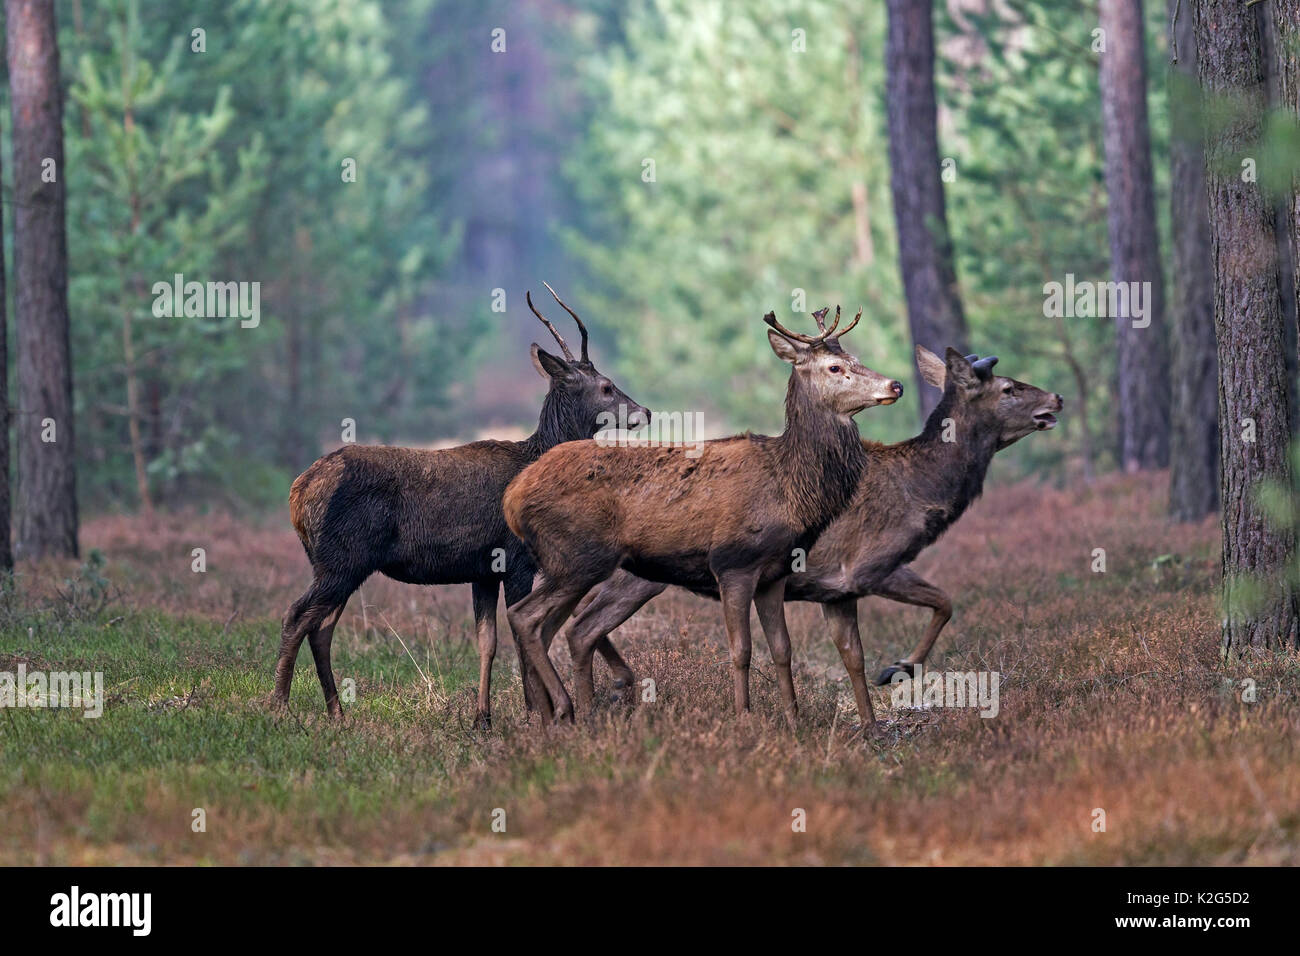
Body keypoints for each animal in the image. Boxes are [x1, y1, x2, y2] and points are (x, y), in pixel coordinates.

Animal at [270, 283, 650, 723]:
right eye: (606, 386)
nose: (645, 411)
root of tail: (299, 493)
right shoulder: (516, 559)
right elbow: (521, 634)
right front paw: (534, 713)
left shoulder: (483, 569)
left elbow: (487, 641)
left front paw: (482, 718)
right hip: (341, 559)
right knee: (296, 616)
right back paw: (278, 705)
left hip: (335, 564)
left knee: (321, 628)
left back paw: (336, 711)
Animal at [499, 306, 904, 723]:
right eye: (835, 367)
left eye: (857, 357)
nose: (896, 385)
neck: (790, 487)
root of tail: (513, 496)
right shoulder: (733, 561)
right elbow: (741, 650)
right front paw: (744, 716)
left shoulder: (774, 573)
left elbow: (782, 649)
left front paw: (794, 721)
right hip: (577, 556)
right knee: (525, 617)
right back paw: (564, 709)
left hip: (575, 565)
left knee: (558, 628)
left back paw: (567, 716)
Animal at [556, 348, 1055, 723]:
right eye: (1009, 387)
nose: (1057, 397)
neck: (921, 492)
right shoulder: (869, 565)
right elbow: (945, 602)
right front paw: (896, 669)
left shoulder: (833, 590)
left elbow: (852, 656)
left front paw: (870, 723)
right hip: (633, 574)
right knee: (579, 621)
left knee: (582, 623)